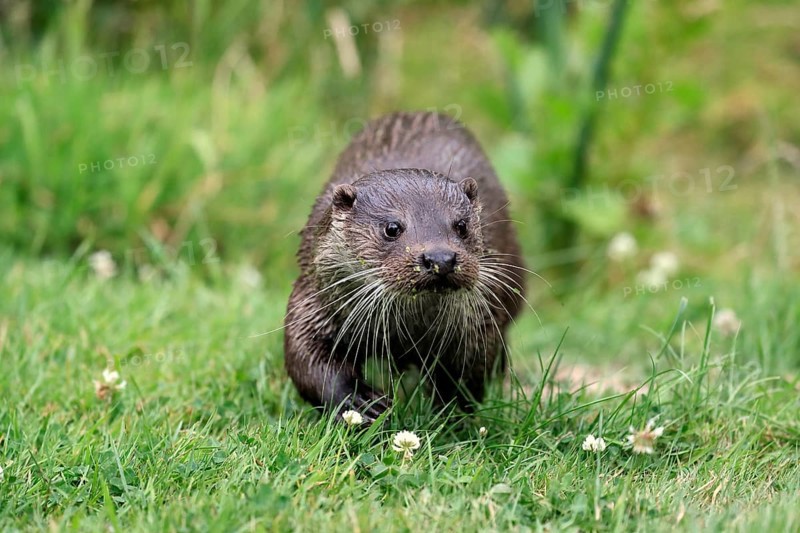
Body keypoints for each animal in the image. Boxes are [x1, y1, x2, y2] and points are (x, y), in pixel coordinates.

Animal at [284, 111, 525, 422]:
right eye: (392, 228)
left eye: (461, 225)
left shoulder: (477, 323)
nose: (440, 258)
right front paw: (362, 402)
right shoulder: (314, 299)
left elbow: (466, 377)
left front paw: (449, 416)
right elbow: (306, 358)